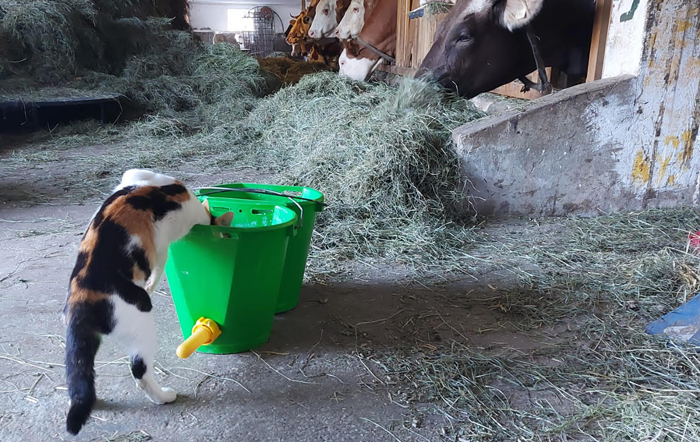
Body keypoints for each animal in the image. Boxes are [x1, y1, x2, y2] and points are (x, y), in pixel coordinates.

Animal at [63, 169, 232, 436]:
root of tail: (85, 296)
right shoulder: (164, 239)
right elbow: (161, 262)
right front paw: (152, 283)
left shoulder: (135, 174)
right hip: (143, 325)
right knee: (140, 372)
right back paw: (164, 396)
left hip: (78, 346)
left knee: (80, 379)